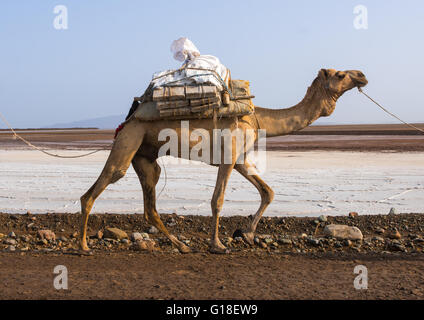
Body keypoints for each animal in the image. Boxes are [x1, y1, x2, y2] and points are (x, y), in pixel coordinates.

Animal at [79, 69, 368, 254]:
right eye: (340, 74)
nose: (362, 75)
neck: (258, 119)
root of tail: (130, 117)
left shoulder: (240, 160)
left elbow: (268, 191)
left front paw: (247, 234)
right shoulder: (229, 156)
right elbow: (217, 200)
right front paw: (218, 245)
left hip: (146, 157)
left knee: (150, 204)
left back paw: (182, 246)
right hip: (129, 140)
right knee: (100, 185)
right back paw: (83, 247)